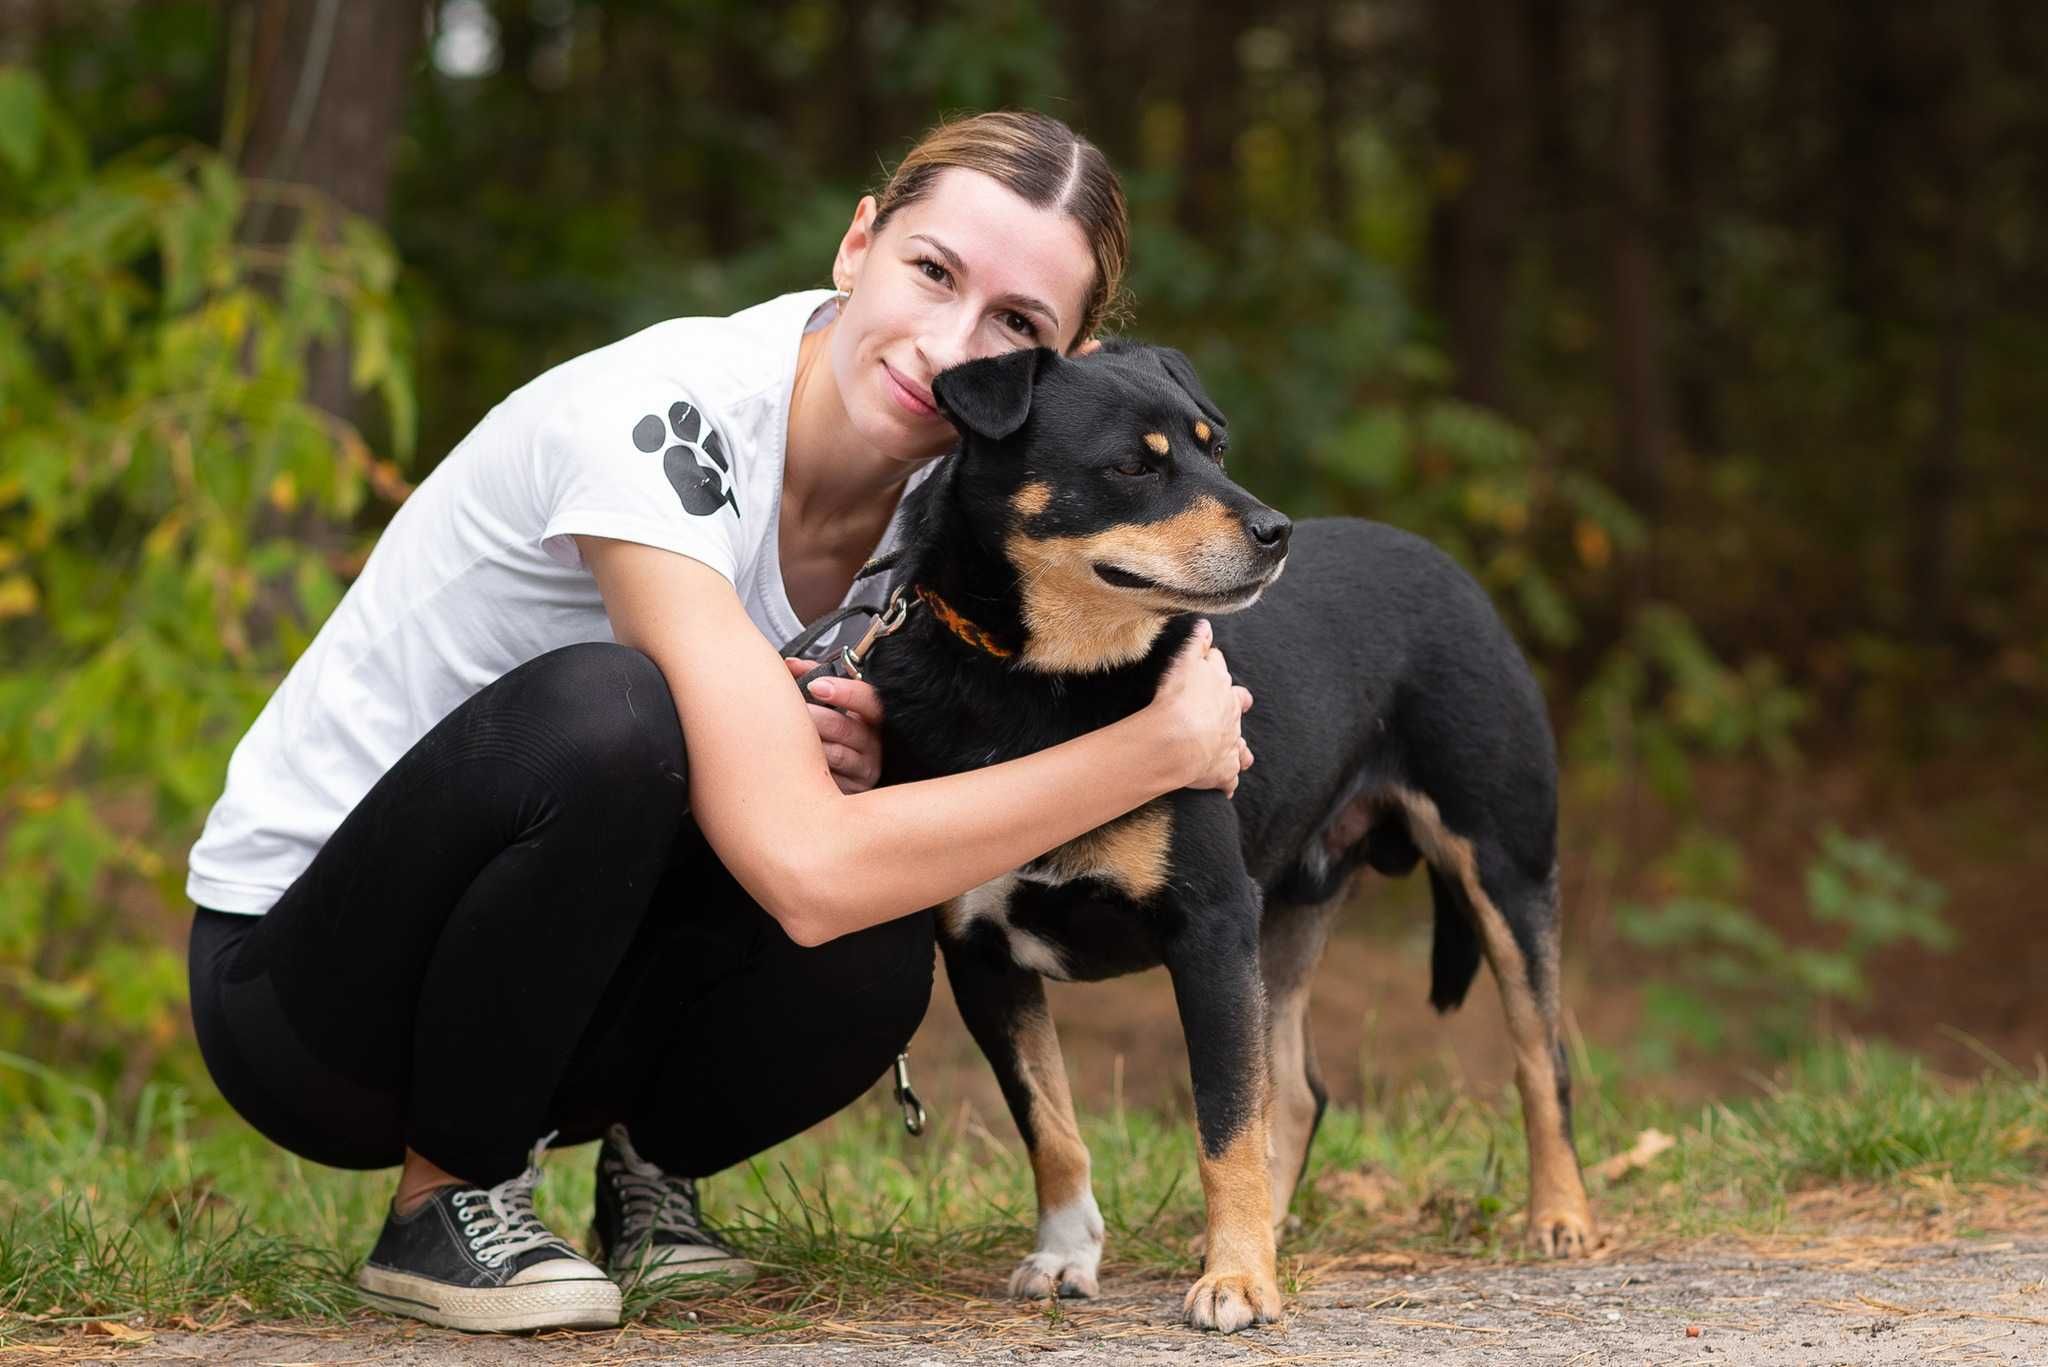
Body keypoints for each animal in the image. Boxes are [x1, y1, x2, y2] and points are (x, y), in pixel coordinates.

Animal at [856, 344, 1589, 1336]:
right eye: (1134, 466)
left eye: (1216, 447)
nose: (1276, 530)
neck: (1045, 686)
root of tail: (1448, 566)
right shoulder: (982, 954)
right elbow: (1052, 1124)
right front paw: (1068, 1252)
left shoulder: (1207, 924)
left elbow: (1224, 1121)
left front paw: (1237, 1277)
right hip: (1284, 915)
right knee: (1299, 1088)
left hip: (1502, 865)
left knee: (1540, 1057)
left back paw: (1559, 1215)